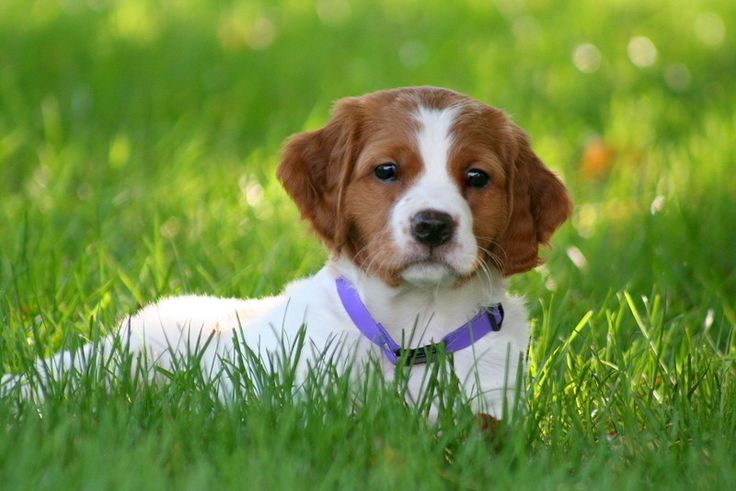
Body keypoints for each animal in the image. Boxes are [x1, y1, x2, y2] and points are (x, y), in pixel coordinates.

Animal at [2, 86, 572, 420]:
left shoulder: (493, 403)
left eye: (476, 177)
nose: (433, 225)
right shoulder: (302, 395)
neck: (410, 330)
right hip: (118, 355)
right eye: (387, 170)